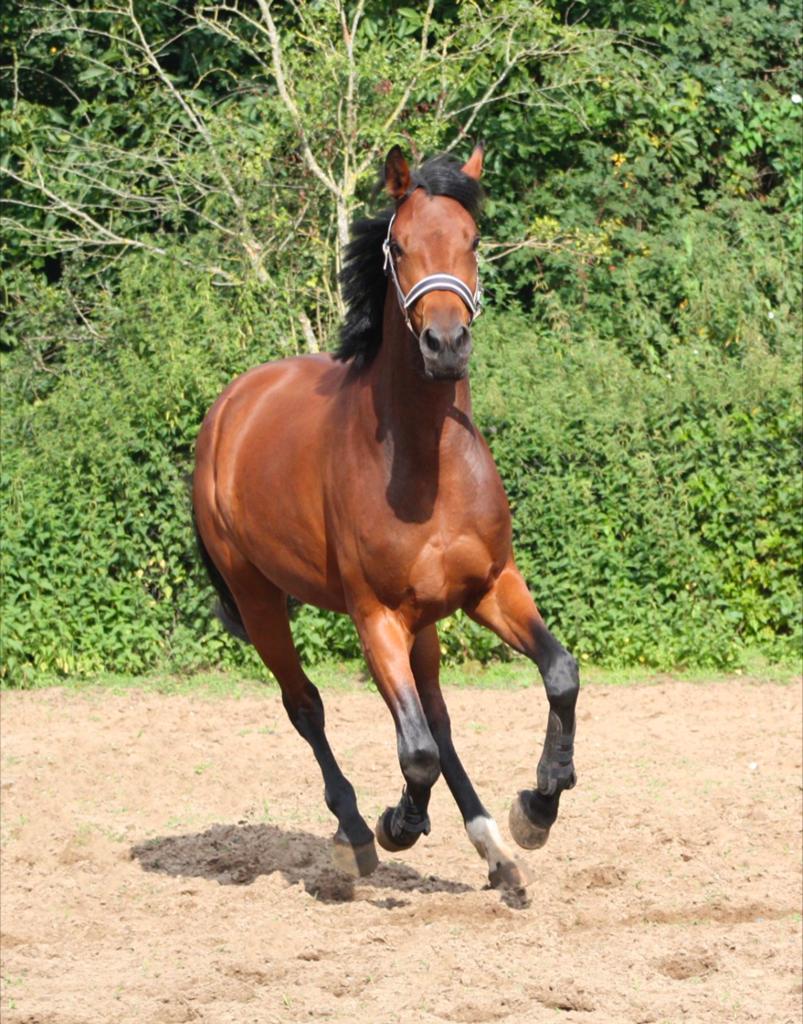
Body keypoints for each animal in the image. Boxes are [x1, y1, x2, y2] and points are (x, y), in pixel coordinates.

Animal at [192, 145, 579, 890]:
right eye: (398, 247)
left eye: (473, 239)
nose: (445, 344)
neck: (426, 466)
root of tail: (229, 409)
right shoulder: (375, 617)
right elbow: (414, 752)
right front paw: (396, 825)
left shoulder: (491, 587)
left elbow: (559, 676)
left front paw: (538, 807)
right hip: (260, 598)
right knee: (308, 706)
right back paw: (354, 832)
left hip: (423, 622)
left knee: (435, 719)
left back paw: (493, 847)